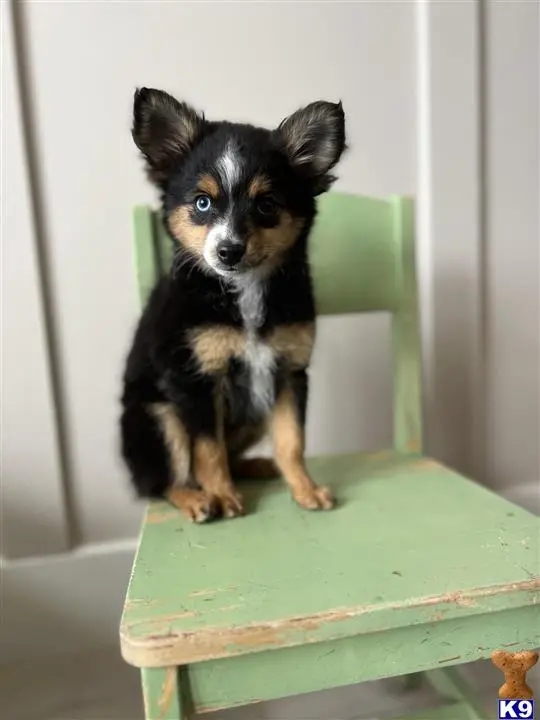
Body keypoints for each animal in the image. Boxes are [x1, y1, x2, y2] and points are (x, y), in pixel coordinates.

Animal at [120, 88, 346, 524]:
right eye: (202, 203)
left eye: (267, 205)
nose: (228, 251)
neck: (243, 290)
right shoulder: (194, 380)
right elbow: (208, 449)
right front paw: (223, 496)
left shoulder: (288, 373)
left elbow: (292, 440)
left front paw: (305, 489)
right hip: (160, 417)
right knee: (162, 481)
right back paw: (196, 498)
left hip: (255, 408)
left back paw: (255, 466)